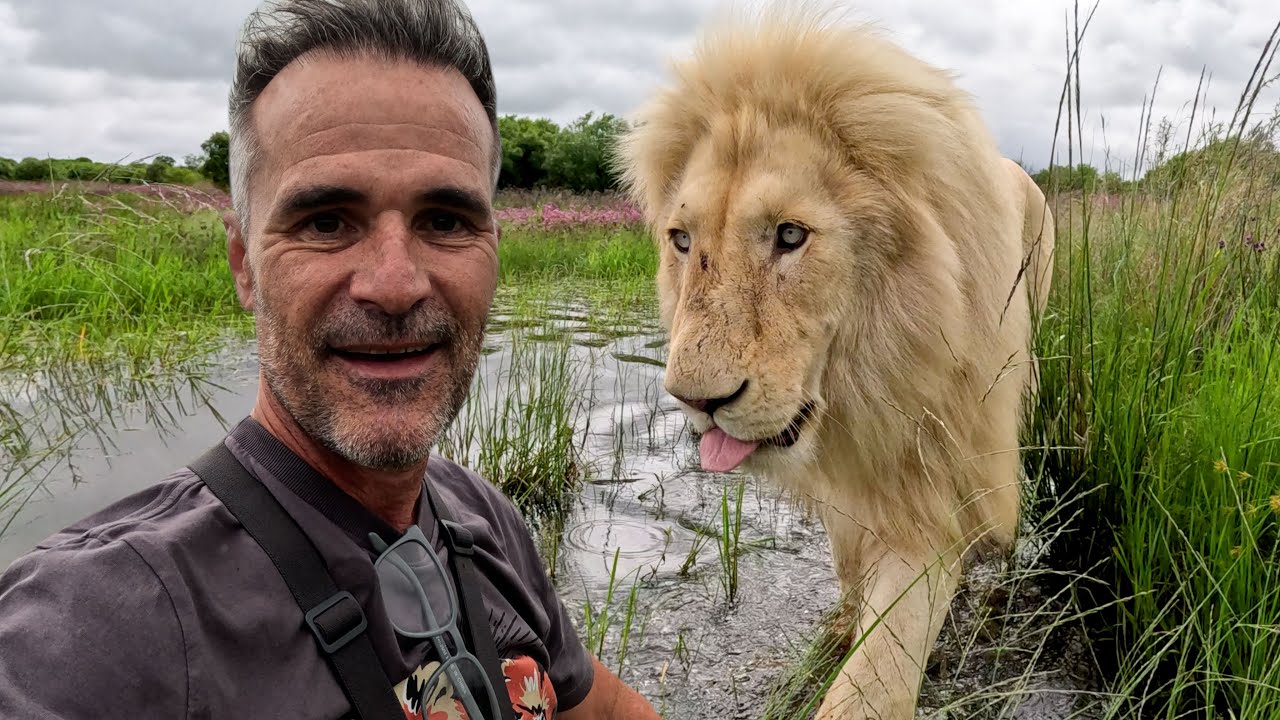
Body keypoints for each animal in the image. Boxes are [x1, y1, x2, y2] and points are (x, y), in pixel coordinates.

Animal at [613, 5, 1055, 718]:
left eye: (790, 235)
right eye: (681, 240)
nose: (697, 401)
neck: (864, 385)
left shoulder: (934, 483)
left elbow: (875, 673)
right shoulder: (848, 486)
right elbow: (851, 575)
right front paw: (842, 625)